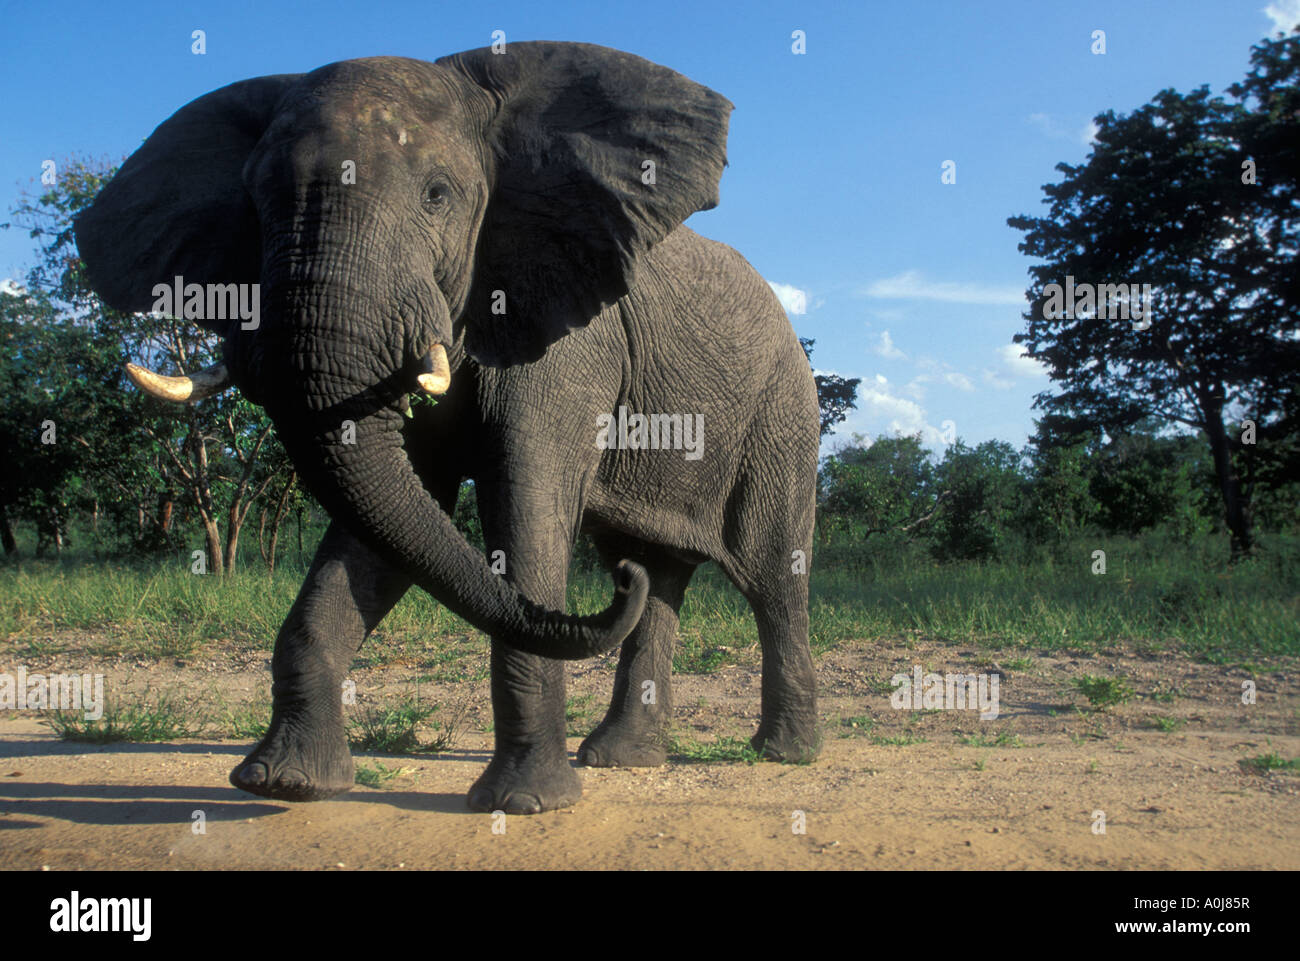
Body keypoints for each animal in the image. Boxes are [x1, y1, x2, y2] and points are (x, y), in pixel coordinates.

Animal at [74, 41, 821, 814]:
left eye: (437, 196)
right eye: (258, 201)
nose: (615, 585)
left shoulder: (567, 340)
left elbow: (523, 508)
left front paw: (524, 805)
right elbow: (393, 515)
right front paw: (282, 783)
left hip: (782, 414)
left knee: (771, 574)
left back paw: (783, 752)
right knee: (661, 572)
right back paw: (621, 749)